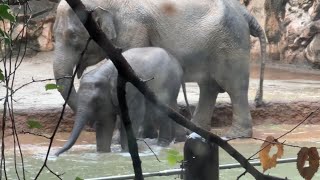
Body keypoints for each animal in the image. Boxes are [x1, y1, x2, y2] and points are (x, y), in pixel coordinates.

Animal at [53, 0, 266, 138]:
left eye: (73, 36)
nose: (91, 125)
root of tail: (245, 12)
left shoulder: (134, 31)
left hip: (230, 41)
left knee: (233, 86)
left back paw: (235, 135)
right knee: (209, 86)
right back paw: (196, 132)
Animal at [55, 47, 185, 155]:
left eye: (96, 100)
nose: (55, 154)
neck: (104, 71)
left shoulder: (131, 89)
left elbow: (133, 117)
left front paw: (127, 152)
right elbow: (106, 121)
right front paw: (102, 154)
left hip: (166, 84)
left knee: (160, 112)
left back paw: (162, 145)